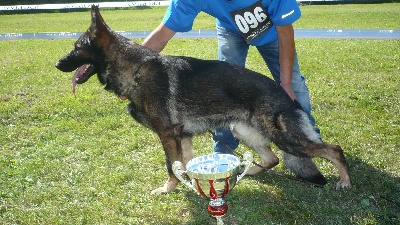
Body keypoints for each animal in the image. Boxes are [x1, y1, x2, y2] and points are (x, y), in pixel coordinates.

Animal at [55, 5, 350, 193]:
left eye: (77, 48)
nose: (57, 64)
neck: (135, 70)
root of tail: (287, 97)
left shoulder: (168, 134)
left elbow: (171, 166)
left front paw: (167, 189)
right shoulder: (182, 136)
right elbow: (183, 165)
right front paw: (190, 185)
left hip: (286, 138)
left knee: (333, 149)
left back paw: (345, 182)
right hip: (242, 130)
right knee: (271, 159)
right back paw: (248, 171)